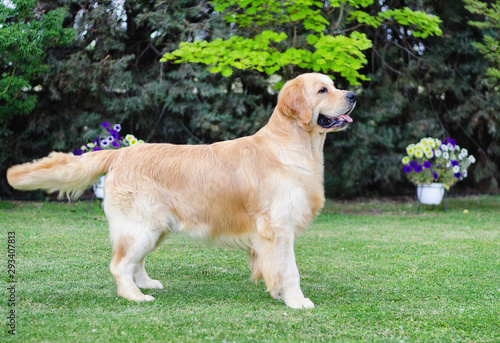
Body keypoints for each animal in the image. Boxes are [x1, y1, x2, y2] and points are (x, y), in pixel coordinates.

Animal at [6, 72, 356, 310]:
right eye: (322, 90)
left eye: (336, 85)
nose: (353, 94)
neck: (293, 146)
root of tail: (120, 153)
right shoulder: (278, 228)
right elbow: (290, 270)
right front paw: (297, 301)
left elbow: (275, 270)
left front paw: (280, 294)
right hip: (141, 226)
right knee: (120, 264)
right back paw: (135, 296)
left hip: (154, 226)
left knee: (135, 263)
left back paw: (147, 283)